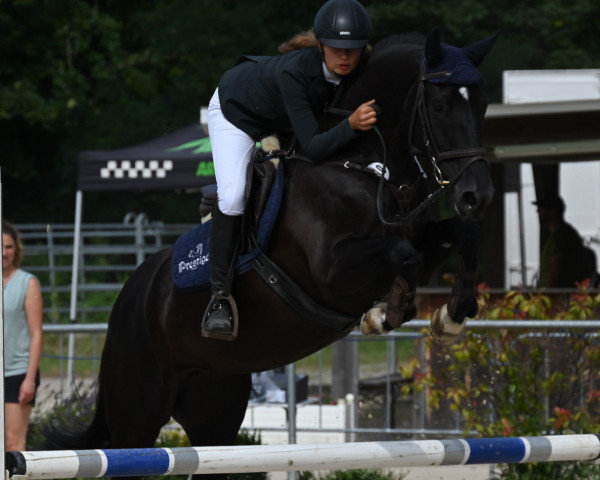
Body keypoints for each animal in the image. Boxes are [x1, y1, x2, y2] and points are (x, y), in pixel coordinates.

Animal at [44, 28, 496, 464]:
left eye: (483, 104)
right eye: (439, 107)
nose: (476, 196)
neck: (364, 166)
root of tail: (127, 299)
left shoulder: (420, 238)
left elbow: (459, 236)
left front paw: (453, 314)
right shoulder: (332, 274)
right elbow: (401, 254)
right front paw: (383, 314)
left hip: (215, 405)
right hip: (137, 408)